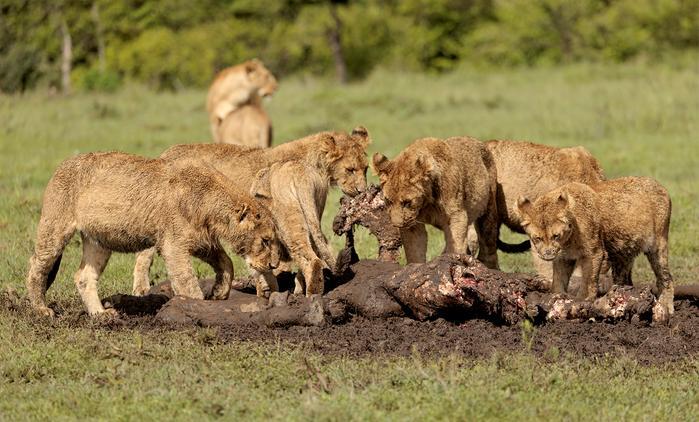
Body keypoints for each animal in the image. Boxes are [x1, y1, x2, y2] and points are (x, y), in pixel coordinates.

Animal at [26, 152, 281, 317]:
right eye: (265, 241)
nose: (274, 265)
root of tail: (63, 164)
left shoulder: (201, 241)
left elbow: (226, 262)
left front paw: (219, 293)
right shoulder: (173, 244)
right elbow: (187, 281)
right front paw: (197, 308)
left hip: (97, 240)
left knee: (84, 276)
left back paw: (100, 315)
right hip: (55, 227)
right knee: (36, 266)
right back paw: (41, 309)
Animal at [132, 127, 371, 297]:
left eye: (366, 169)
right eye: (350, 169)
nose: (362, 191)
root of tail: (166, 153)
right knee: (145, 252)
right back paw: (141, 288)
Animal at [372, 137, 499, 269]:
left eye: (407, 202)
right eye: (388, 201)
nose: (397, 225)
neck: (426, 204)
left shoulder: (456, 215)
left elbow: (455, 244)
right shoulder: (412, 224)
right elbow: (414, 250)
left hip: (489, 210)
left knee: (488, 242)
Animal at [516, 178, 674, 323]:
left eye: (556, 236)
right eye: (537, 238)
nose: (548, 254)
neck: (568, 241)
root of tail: (660, 186)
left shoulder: (594, 253)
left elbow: (588, 281)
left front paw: (581, 303)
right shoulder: (564, 258)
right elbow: (558, 281)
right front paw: (555, 300)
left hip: (658, 245)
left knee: (666, 279)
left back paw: (666, 307)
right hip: (623, 254)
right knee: (624, 279)